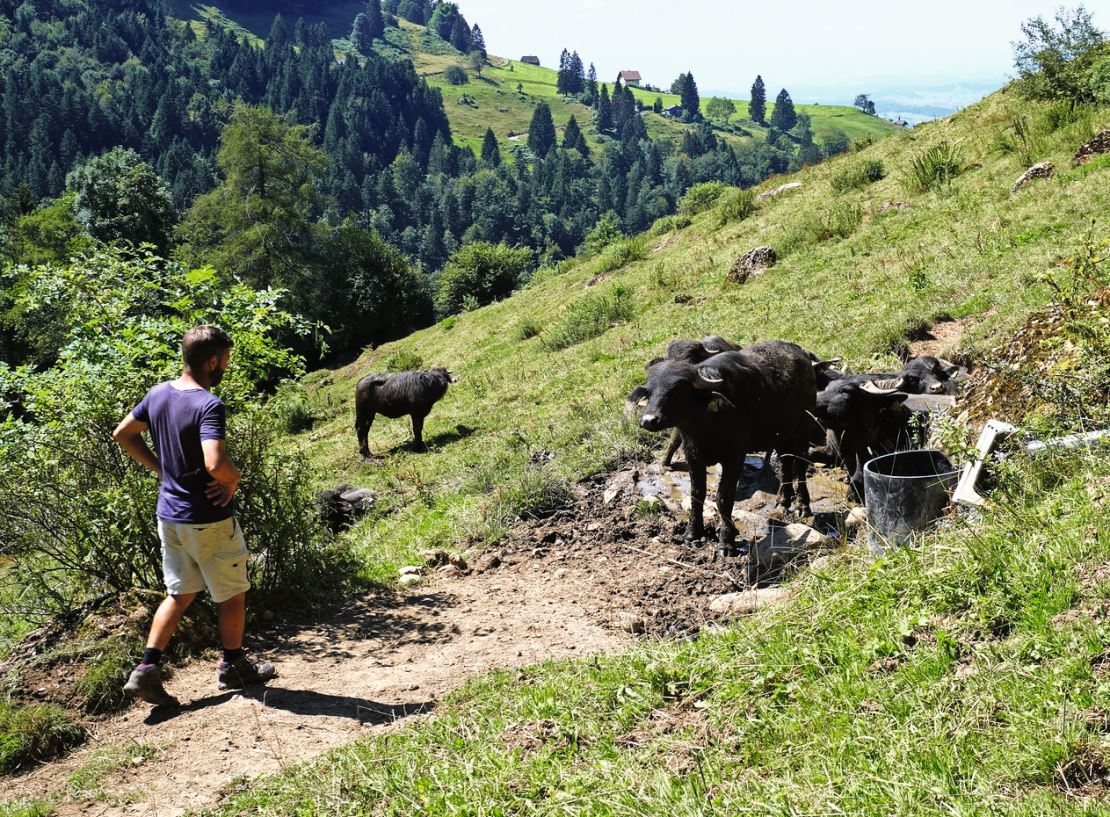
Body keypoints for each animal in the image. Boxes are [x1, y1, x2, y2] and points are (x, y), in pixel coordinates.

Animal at [626, 337, 816, 555]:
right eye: (649, 392)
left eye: (677, 390)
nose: (649, 420)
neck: (705, 424)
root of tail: (800, 353)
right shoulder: (693, 456)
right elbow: (696, 494)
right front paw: (693, 532)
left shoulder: (734, 457)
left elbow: (723, 498)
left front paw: (726, 542)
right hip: (781, 433)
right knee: (786, 461)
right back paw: (783, 500)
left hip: (804, 427)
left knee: (800, 464)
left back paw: (802, 506)